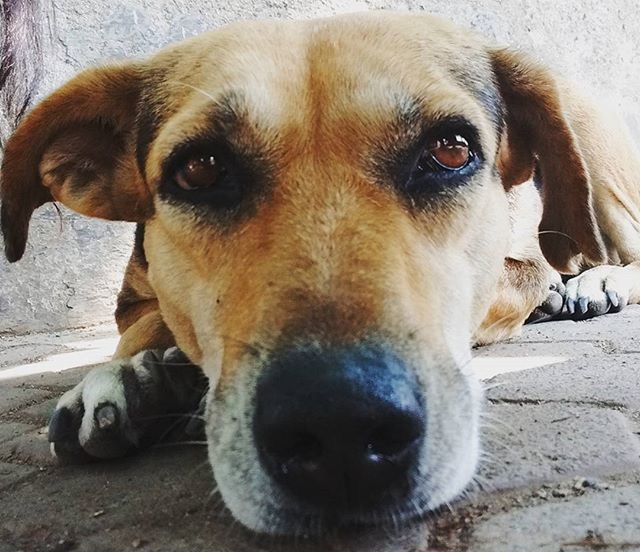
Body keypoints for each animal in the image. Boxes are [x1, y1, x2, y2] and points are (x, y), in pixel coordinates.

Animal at [1, 9, 640, 536]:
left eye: (451, 151)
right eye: (200, 169)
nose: (341, 428)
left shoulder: (522, 270)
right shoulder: (134, 298)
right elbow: (141, 329)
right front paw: (125, 381)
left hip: (598, 179)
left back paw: (597, 281)